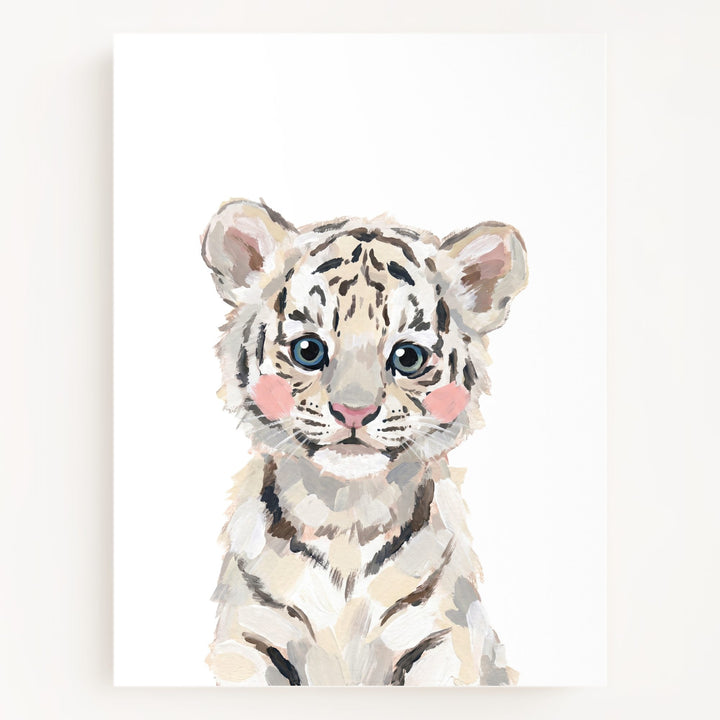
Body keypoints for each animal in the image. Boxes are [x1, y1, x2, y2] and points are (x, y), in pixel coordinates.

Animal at [200, 198, 528, 686]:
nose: (353, 411)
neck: (345, 517)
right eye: (308, 351)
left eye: (407, 357)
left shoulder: (444, 641)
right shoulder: (248, 641)